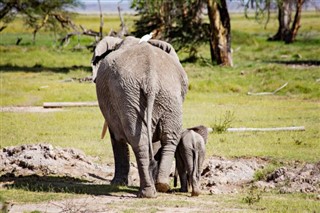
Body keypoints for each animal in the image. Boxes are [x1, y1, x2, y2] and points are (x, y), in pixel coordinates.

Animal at [91, 36, 189, 198]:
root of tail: (151, 79)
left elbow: (116, 136)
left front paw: (117, 184)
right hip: (167, 95)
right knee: (169, 137)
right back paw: (160, 186)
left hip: (129, 95)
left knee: (139, 140)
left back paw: (147, 192)